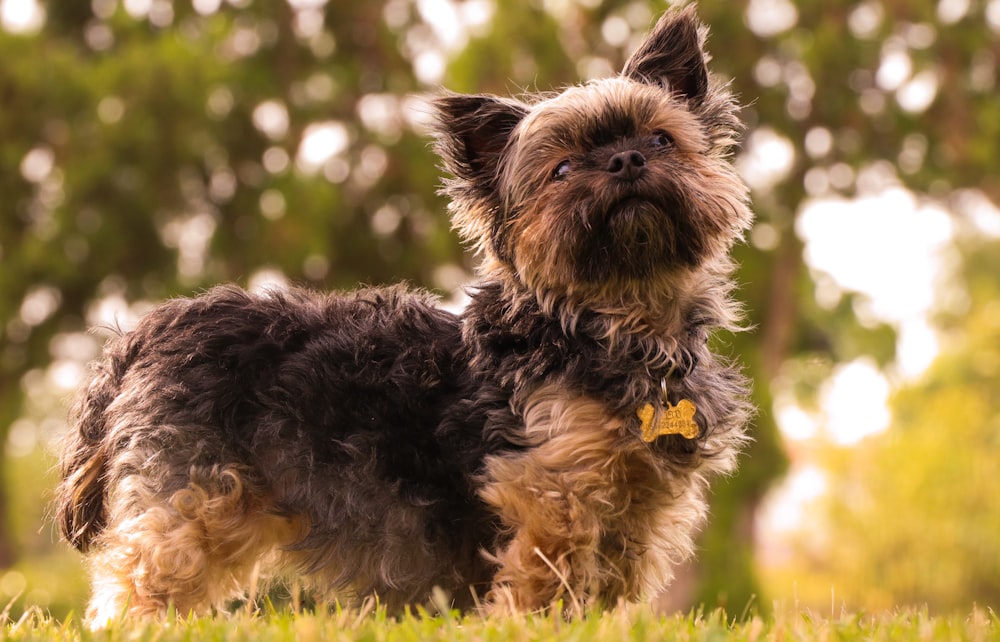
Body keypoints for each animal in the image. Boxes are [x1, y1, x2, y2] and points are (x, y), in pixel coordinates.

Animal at [56, 6, 752, 624]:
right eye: (560, 169)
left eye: (661, 138)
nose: (627, 159)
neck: (615, 326)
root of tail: (152, 329)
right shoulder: (550, 492)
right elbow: (545, 585)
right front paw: (533, 625)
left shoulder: (638, 505)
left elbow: (608, 586)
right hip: (198, 502)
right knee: (138, 585)